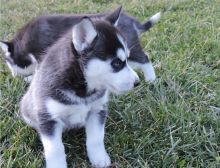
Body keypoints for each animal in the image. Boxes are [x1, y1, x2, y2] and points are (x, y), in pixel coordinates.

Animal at [0, 7, 162, 83]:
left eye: (9, 64)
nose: (14, 76)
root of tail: (132, 21)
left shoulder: (41, 54)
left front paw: (30, 79)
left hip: (130, 49)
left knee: (145, 58)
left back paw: (151, 79)